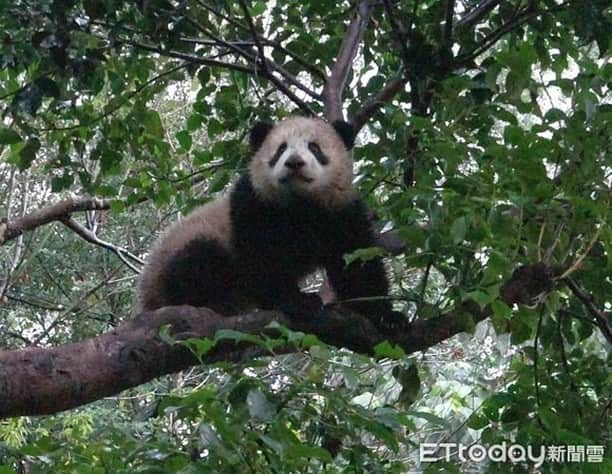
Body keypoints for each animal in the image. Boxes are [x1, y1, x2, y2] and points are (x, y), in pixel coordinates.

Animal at [136, 115, 400, 330]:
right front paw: (297, 301)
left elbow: (356, 261)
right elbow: (263, 258)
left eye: (314, 147)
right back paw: (216, 302)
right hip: (178, 254)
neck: (300, 203)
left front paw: (384, 315)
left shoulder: (340, 211)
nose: (294, 162)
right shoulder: (254, 204)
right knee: (198, 260)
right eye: (280, 149)